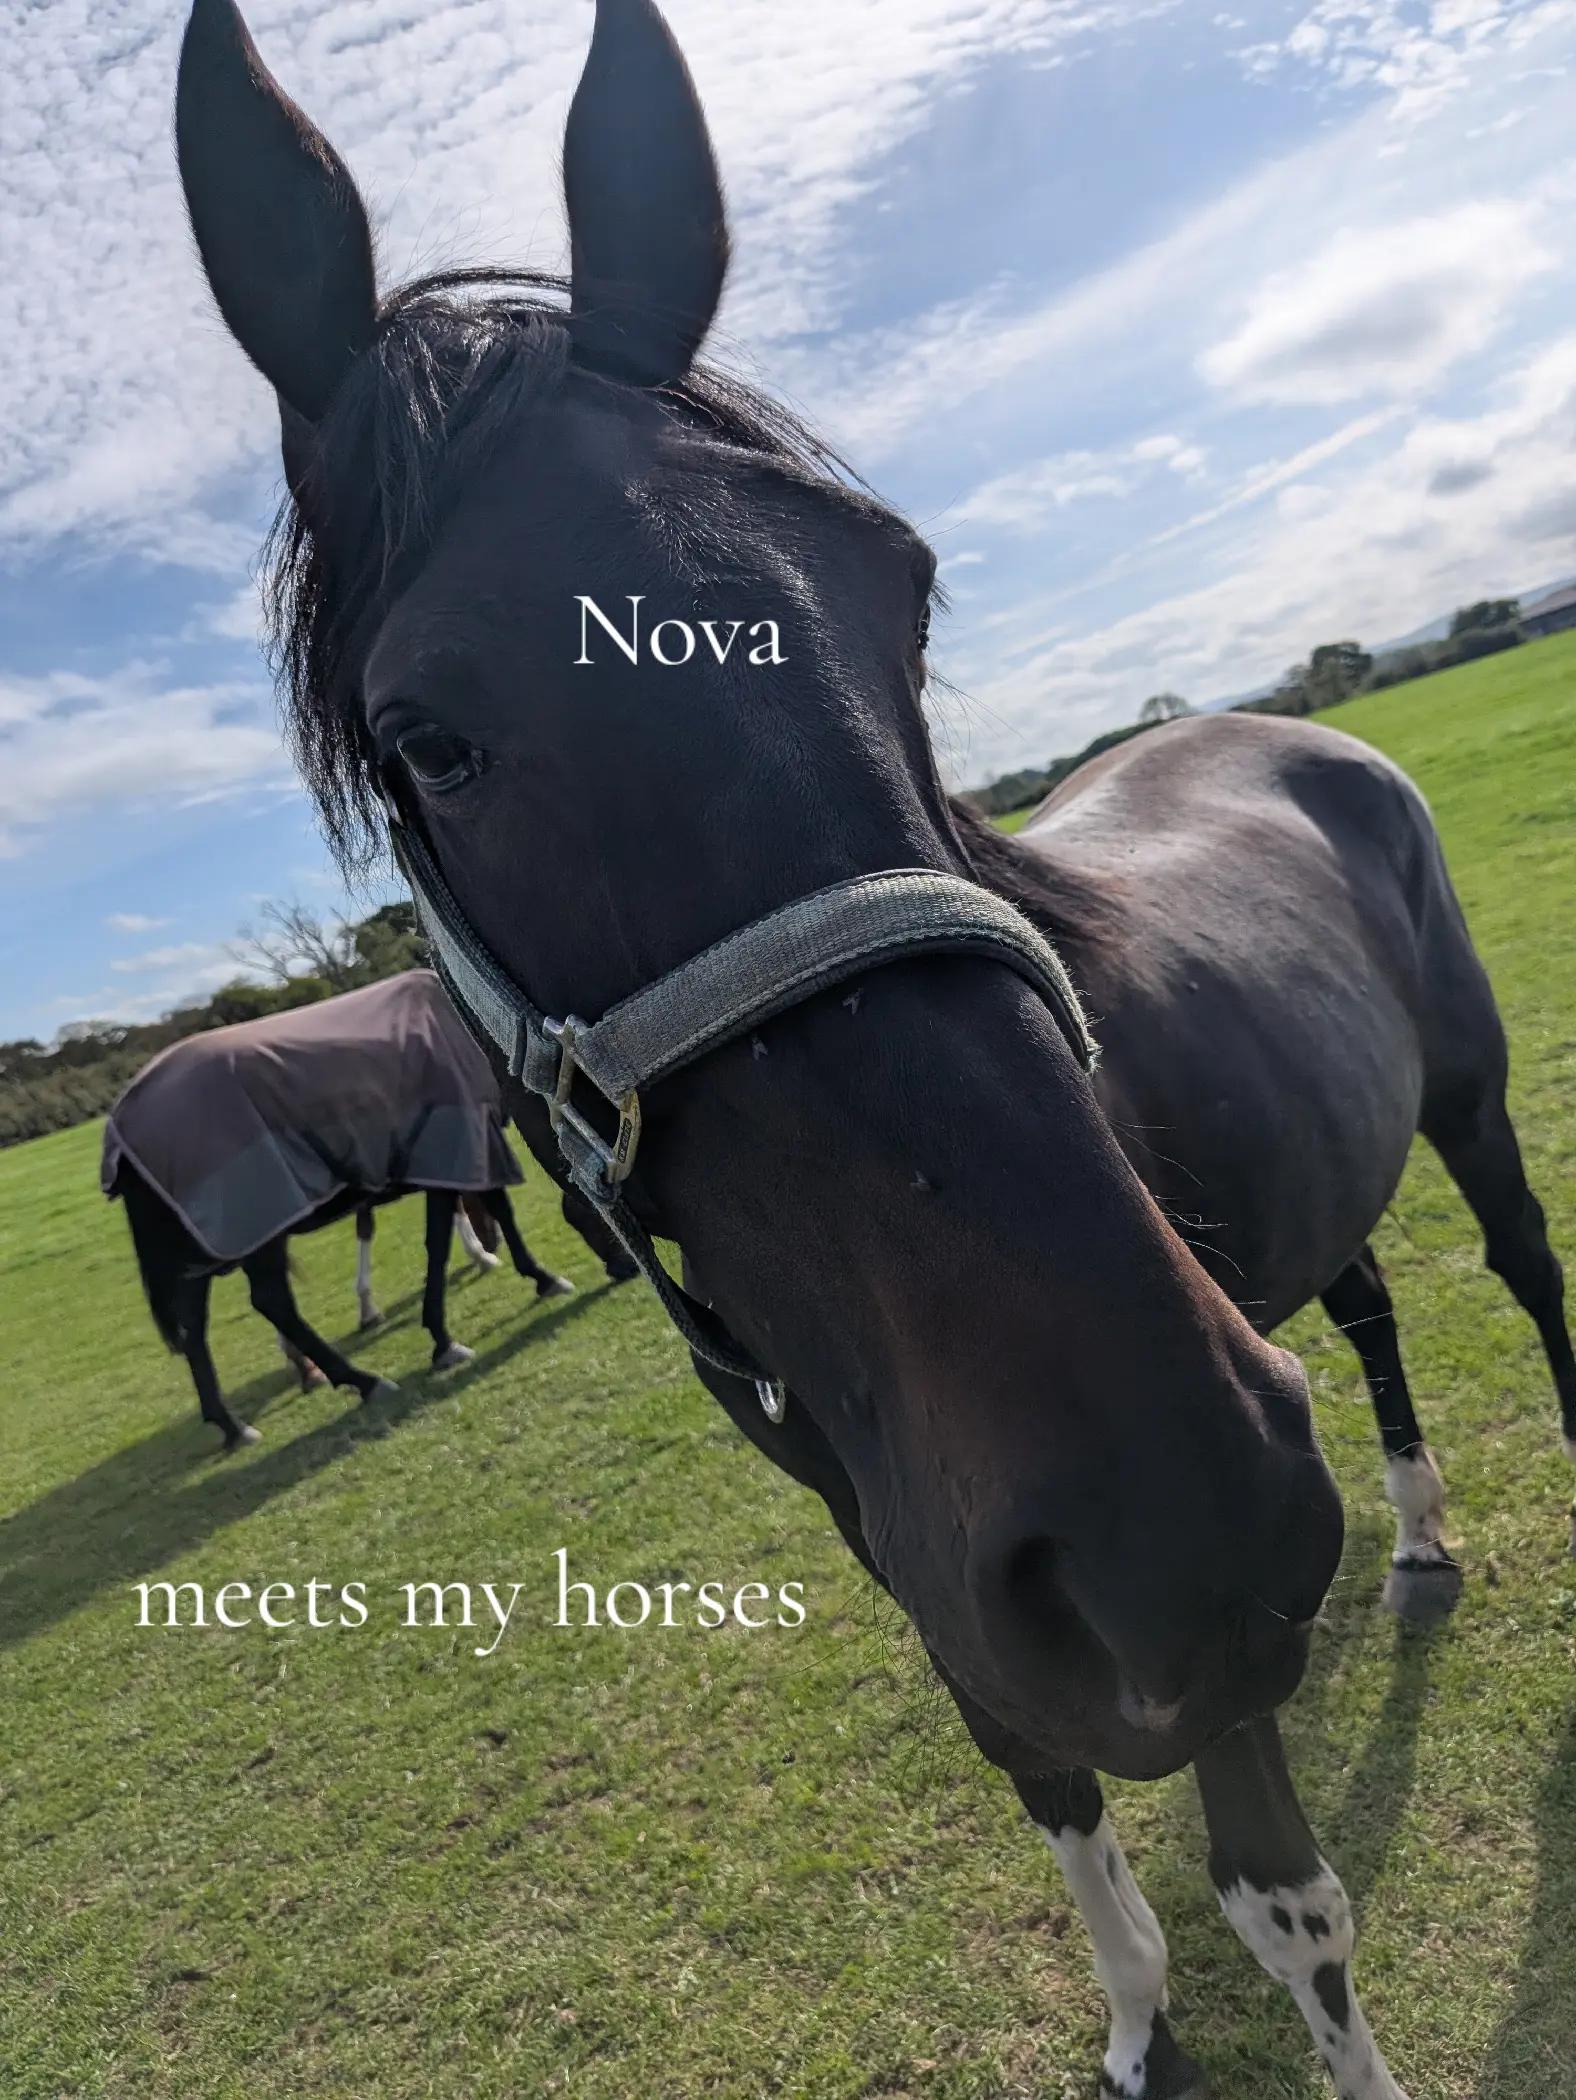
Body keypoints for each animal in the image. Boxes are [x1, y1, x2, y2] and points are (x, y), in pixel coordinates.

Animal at [103, 970, 581, 1450]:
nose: (489, 1246)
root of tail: (123, 1127)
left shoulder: (461, 1149)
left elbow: (488, 1212)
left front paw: (531, 1278)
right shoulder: (459, 1146)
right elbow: (446, 1242)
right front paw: (448, 1336)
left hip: (204, 1252)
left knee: (195, 1330)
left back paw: (234, 1425)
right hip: (256, 1232)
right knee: (272, 1302)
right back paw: (360, 1380)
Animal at [172, 1, 1574, 2091]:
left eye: (901, 600)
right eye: (427, 739)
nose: (1177, 1509)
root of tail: (1294, 730)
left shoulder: (1175, 1590)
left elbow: (1284, 1899)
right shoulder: (927, 1546)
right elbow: (1046, 1783)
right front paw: (1136, 2019)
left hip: (1463, 1121)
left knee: (1526, 1271)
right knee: (1380, 1307)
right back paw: (1408, 1539)